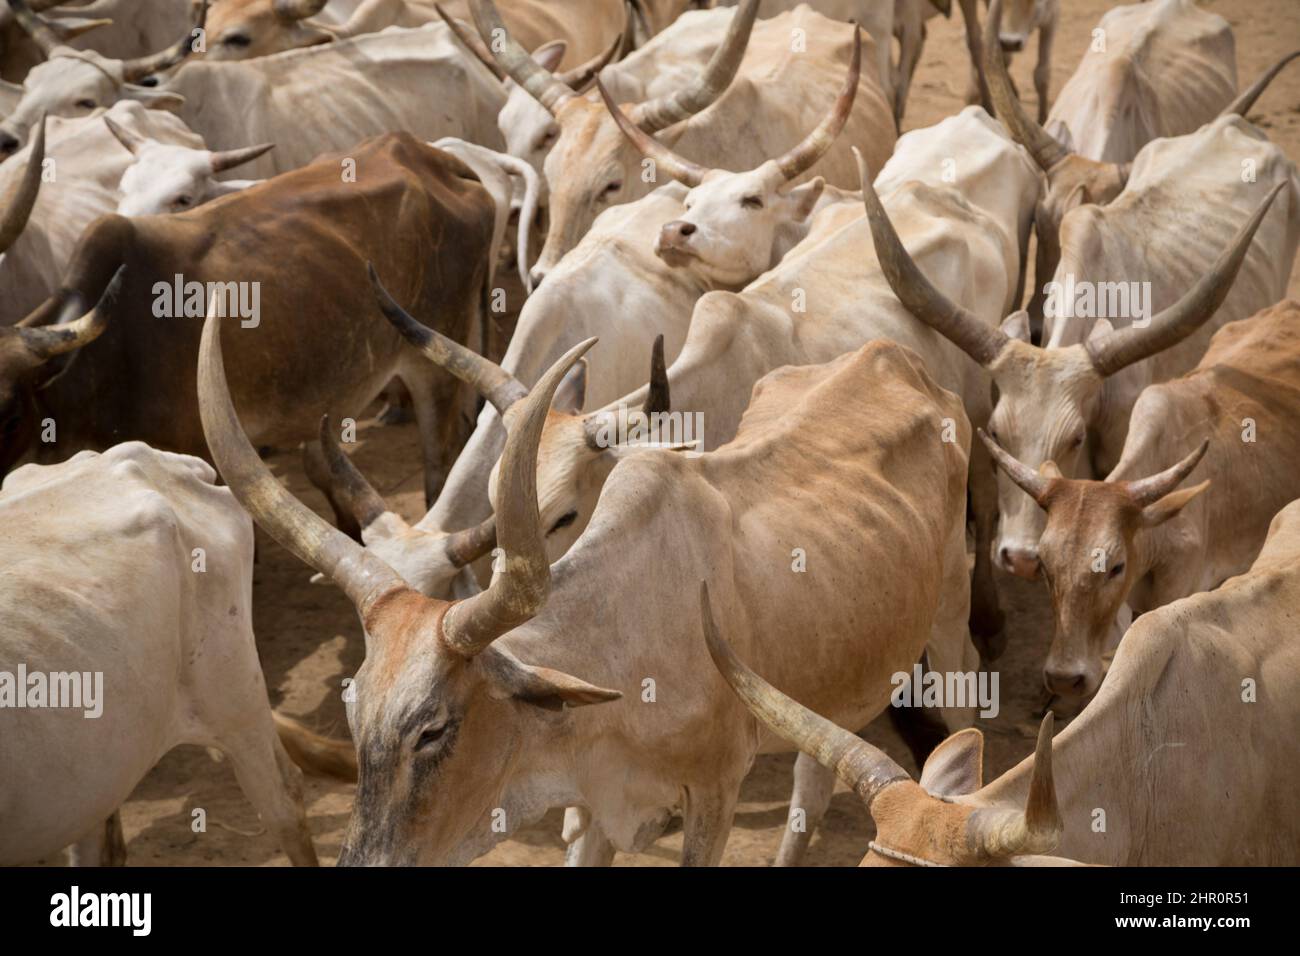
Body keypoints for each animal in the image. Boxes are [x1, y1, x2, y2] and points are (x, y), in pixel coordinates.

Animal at [200, 261, 977, 868]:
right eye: (353, 706)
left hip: (950, 617)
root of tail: (892, 356)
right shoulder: (598, 810)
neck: (629, 646)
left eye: (433, 730)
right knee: (813, 783)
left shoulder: (716, 795)